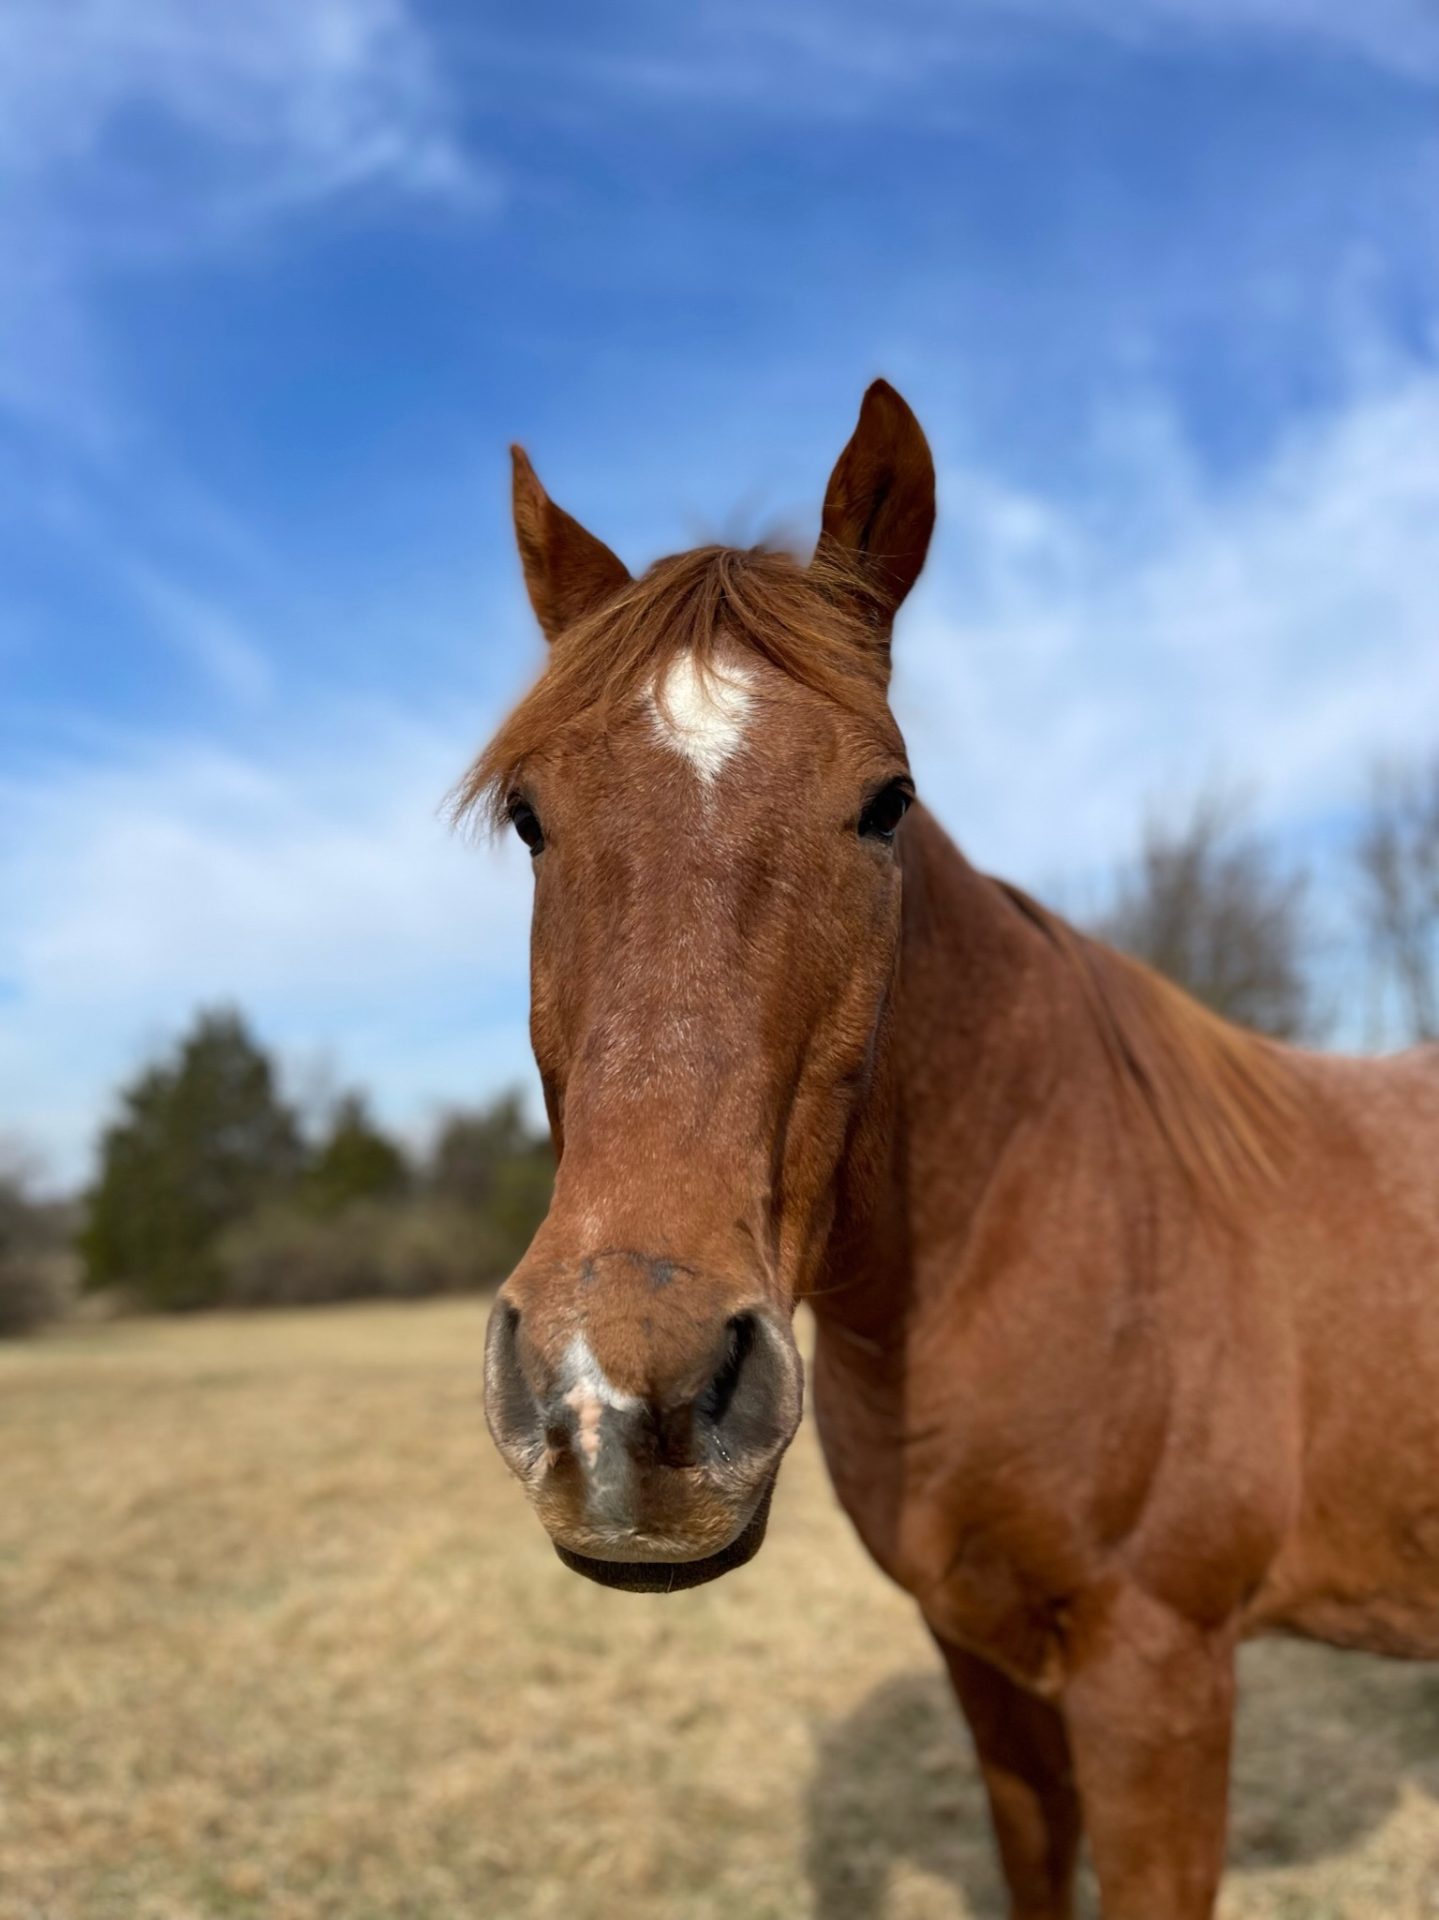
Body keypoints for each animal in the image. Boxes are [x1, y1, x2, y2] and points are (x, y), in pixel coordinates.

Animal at [468, 382, 1437, 1912]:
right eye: (527, 818)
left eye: (887, 800)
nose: (619, 1398)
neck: (1049, 1226)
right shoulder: (983, 1665)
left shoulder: (1157, 1685)